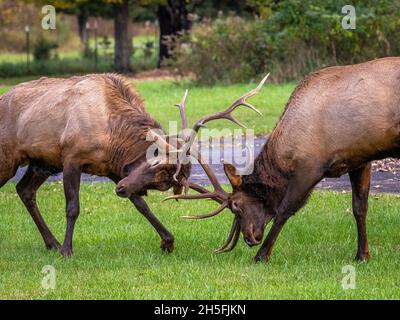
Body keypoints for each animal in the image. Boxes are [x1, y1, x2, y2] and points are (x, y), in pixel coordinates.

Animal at [0, 73, 192, 258]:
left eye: (162, 185)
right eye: (156, 163)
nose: (120, 190)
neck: (112, 138)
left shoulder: (112, 170)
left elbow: (141, 205)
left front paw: (167, 241)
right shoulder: (71, 158)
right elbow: (73, 207)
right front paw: (67, 250)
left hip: (42, 164)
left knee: (25, 189)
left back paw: (52, 243)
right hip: (8, 160)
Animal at [170, 57, 400, 262]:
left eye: (236, 206)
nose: (249, 238)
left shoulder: (310, 166)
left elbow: (284, 210)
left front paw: (261, 255)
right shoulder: (359, 158)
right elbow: (359, 208)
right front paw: (362, 255)